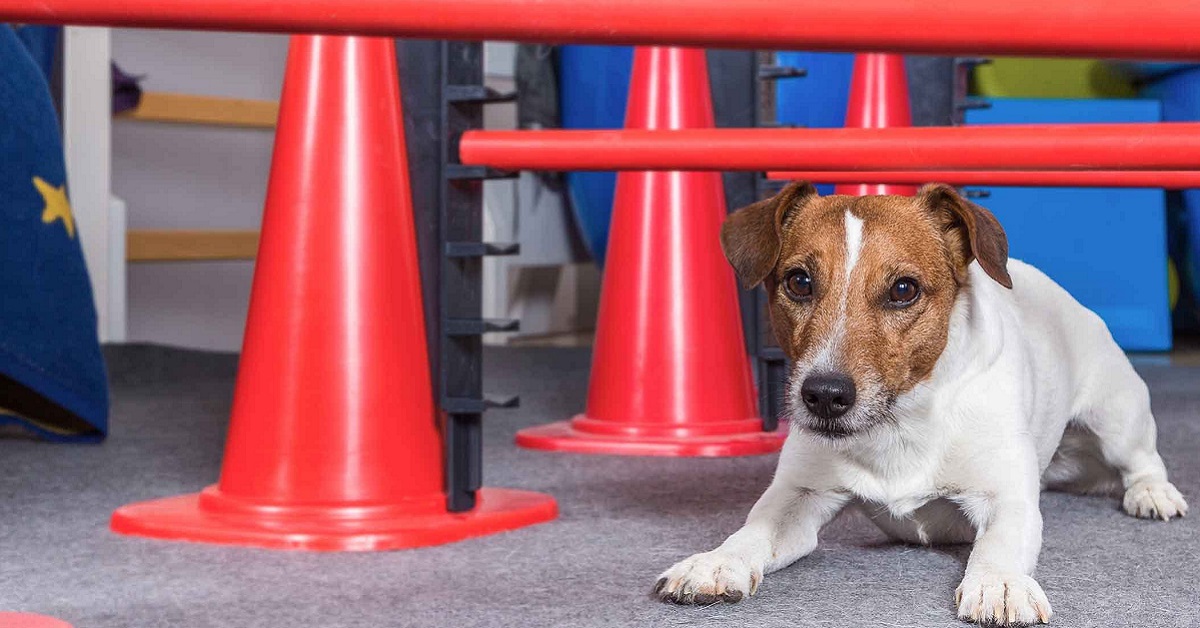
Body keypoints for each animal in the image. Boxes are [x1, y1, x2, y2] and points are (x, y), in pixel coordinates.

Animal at [657, 180, 1190, 624]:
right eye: (799, 281)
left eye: (903, 289)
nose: (824, 396)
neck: (899, 421)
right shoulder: (798, 494)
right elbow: (754, 530)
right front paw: (715, 562)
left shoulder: (1007, 498)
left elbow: (998, 544)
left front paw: (999, 584)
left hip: (1117, 418)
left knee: (1143, 460)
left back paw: (1152, 494)